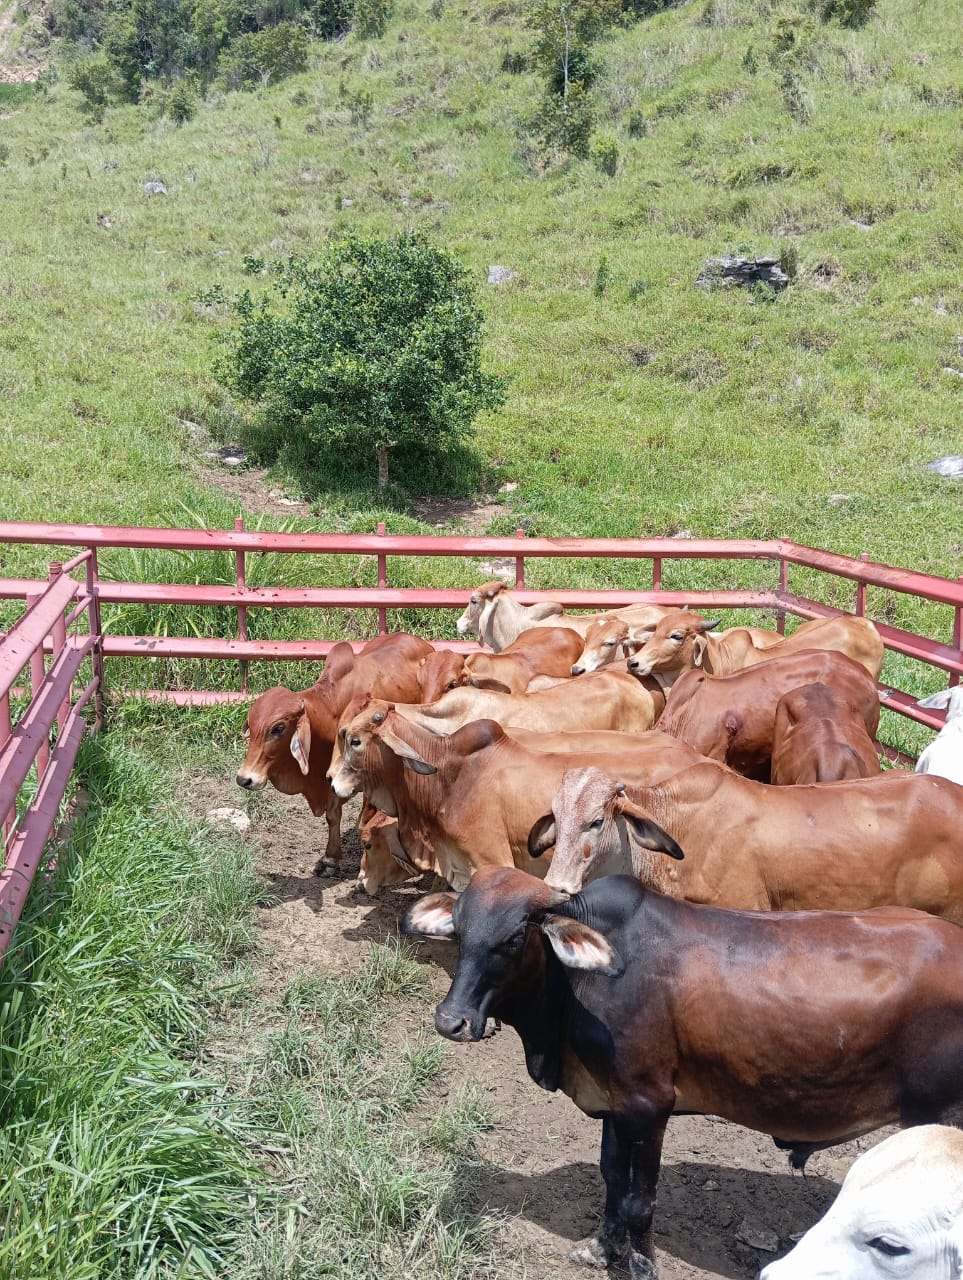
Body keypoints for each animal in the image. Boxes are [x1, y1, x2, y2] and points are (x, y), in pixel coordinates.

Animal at [235, 634, 430, 875]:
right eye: (251, 727)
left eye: (278, 728)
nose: (244, 779)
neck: (329, 713)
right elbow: (333, 816)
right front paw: (331, 857)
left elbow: (341, 814)